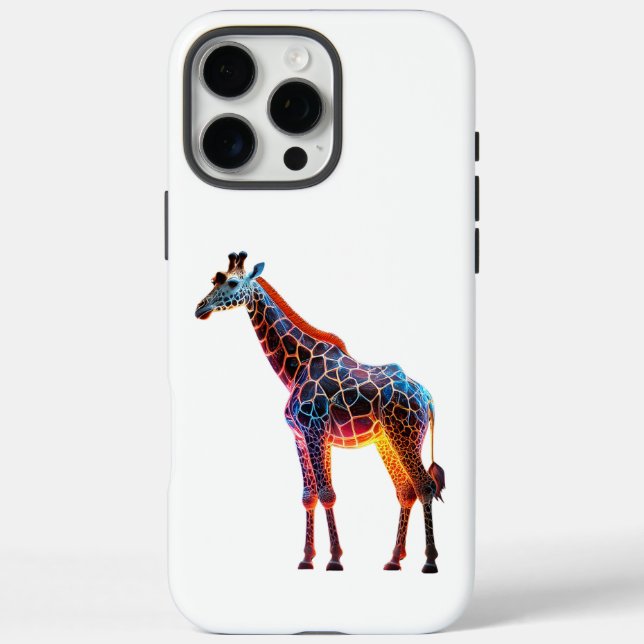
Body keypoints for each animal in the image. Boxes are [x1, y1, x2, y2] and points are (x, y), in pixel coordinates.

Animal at [195, 251, 446, 573]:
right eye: (214, 280)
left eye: (233, 282)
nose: (200, 308)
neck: (295, 367)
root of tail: (427, 397)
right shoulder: (302, 436)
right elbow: (308, 496)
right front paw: (307, 557)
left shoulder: (314, 430)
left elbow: (327, 493)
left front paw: (335, 558)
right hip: (387, 441)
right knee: (406, 489)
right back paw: (393, 559)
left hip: (406, 436)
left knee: (424, 485)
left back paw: (429, 560)